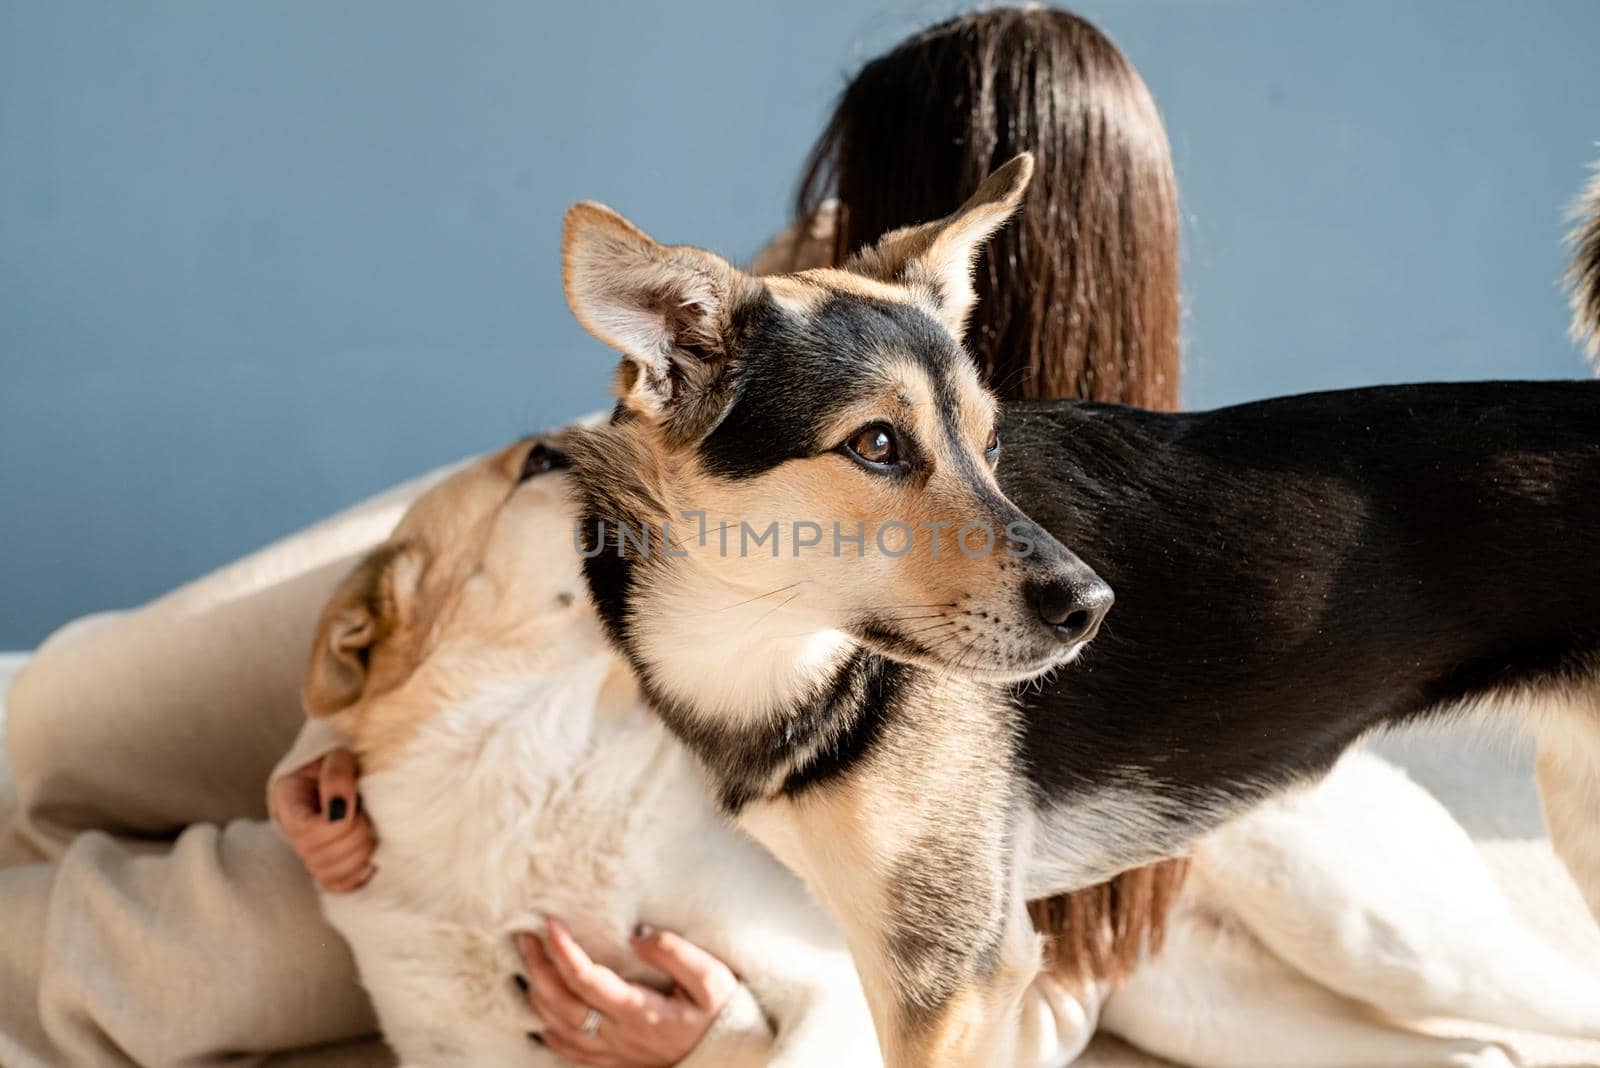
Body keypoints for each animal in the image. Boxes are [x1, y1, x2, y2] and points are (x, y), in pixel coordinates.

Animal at [553, 158, 1600, 1068]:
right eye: (877, 444)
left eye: (990, 442)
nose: (1094, 607)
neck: (772, 651)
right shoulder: (971, 971)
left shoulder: (948, 977)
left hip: (1400, 929)